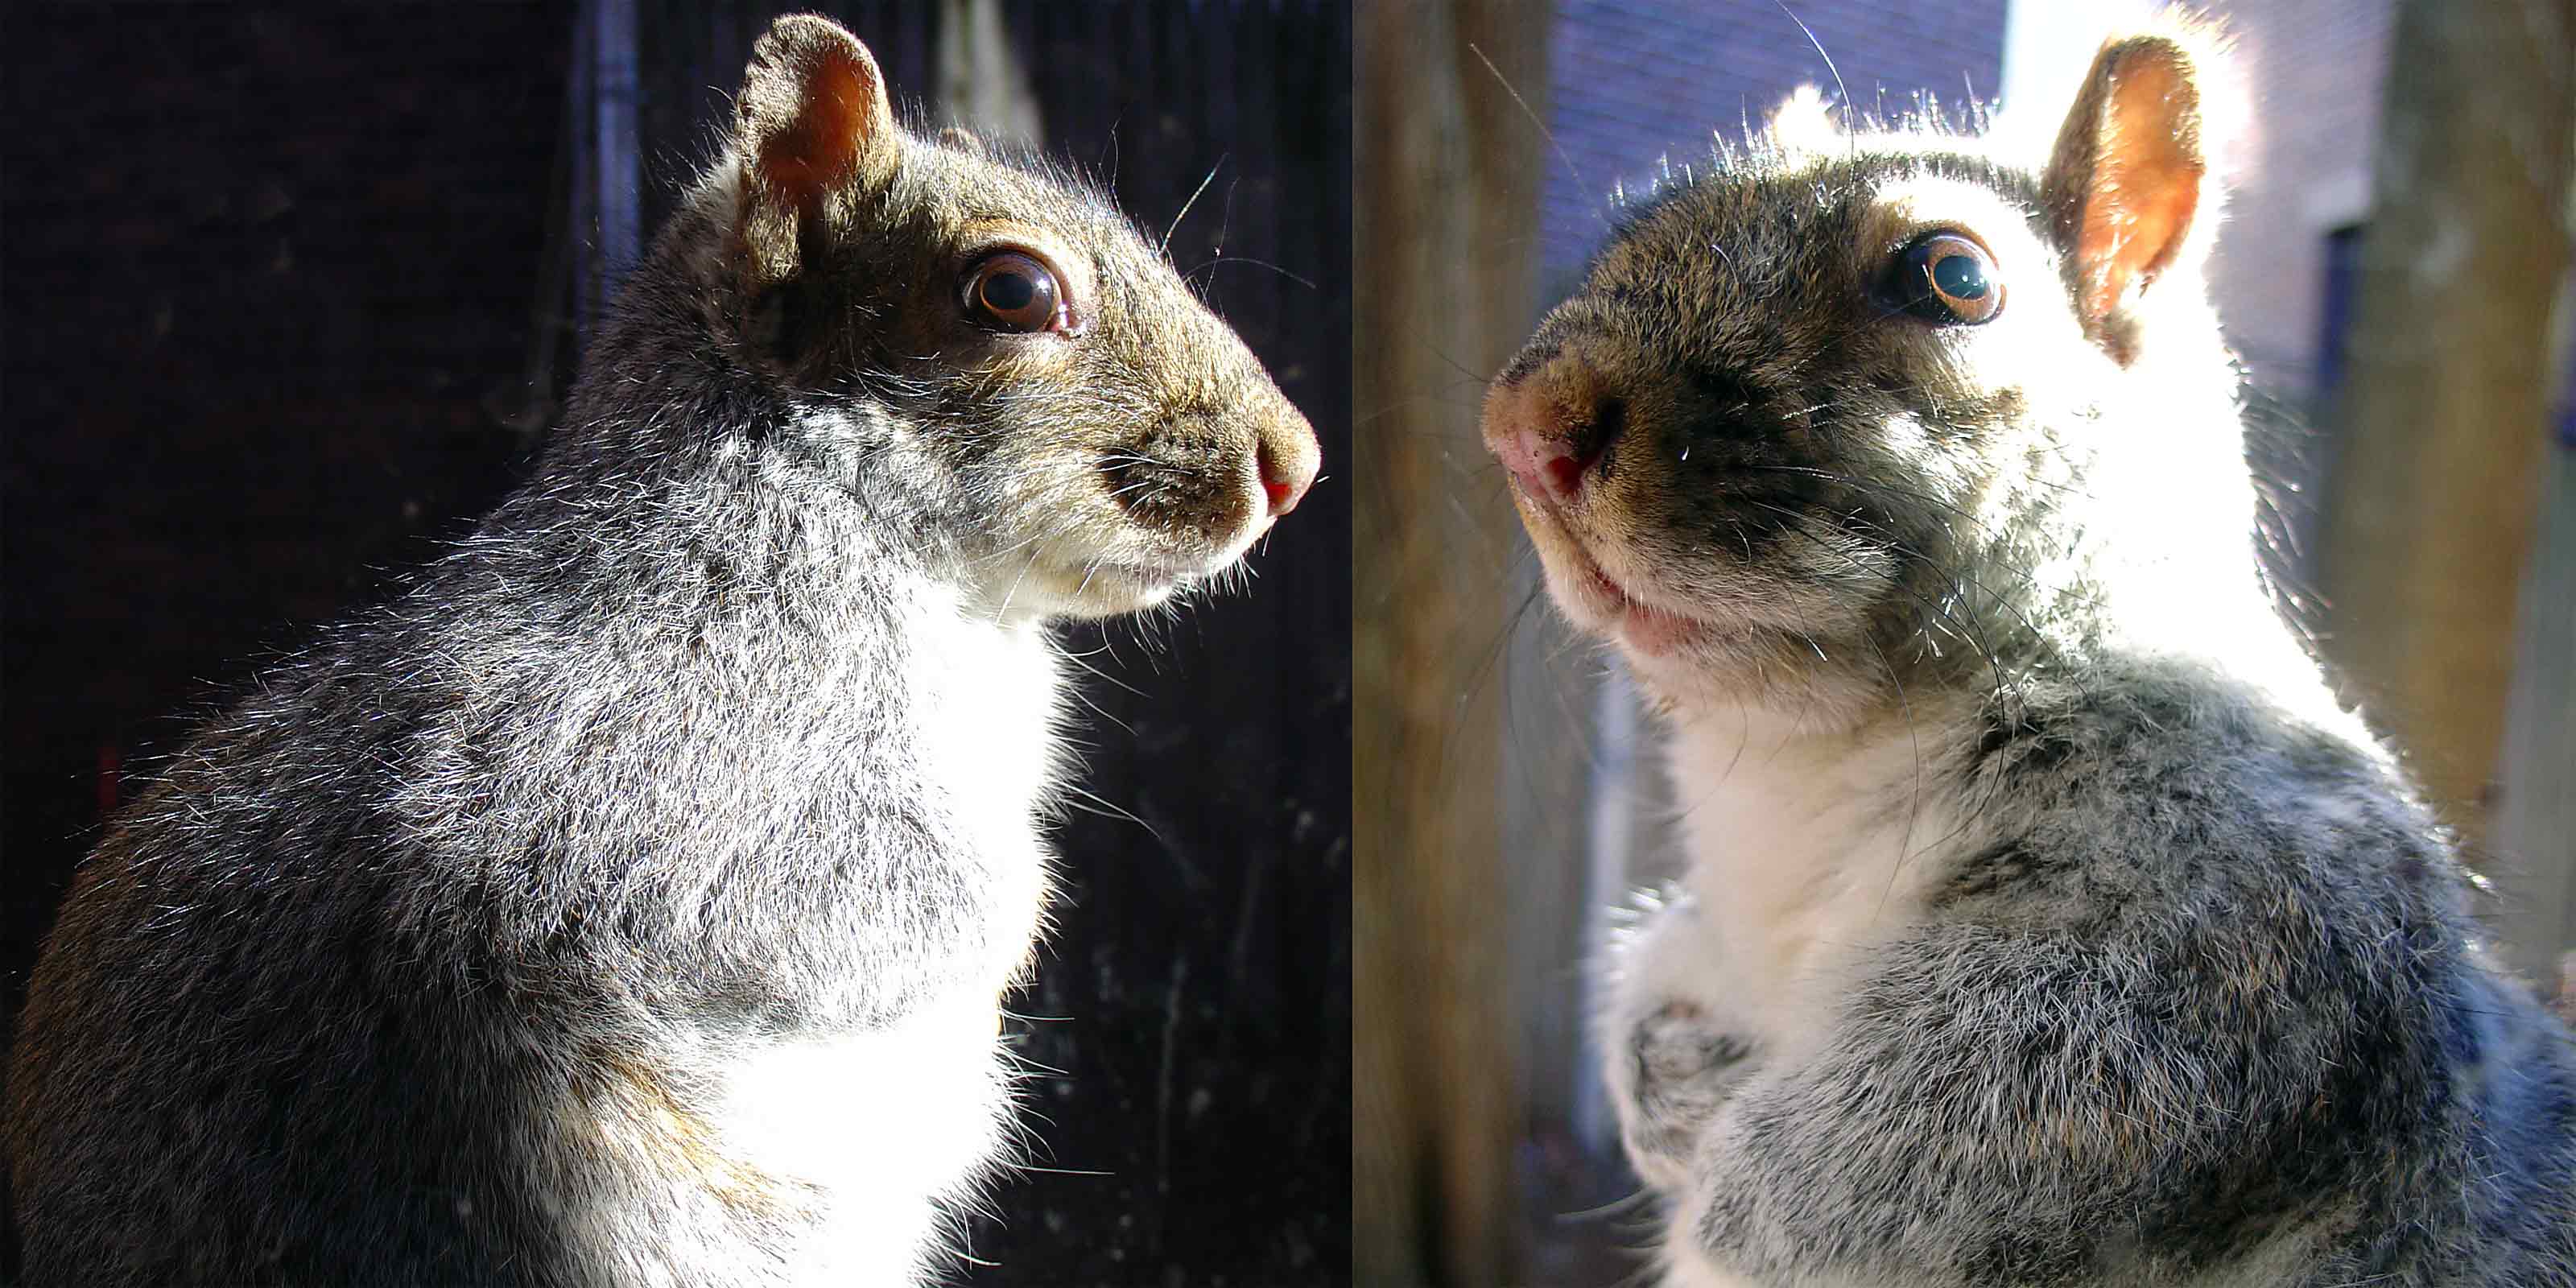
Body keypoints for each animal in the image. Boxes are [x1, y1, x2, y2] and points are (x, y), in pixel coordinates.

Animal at [1483, 14, 2575, 1287]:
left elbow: (1992, 1119)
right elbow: (1662, 966)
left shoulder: (2244, 937)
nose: (1523, 427)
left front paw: (1732, 1174)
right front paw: (1660, 1079)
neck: (1796, 764)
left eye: (1952, 278)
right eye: (1638, 211)